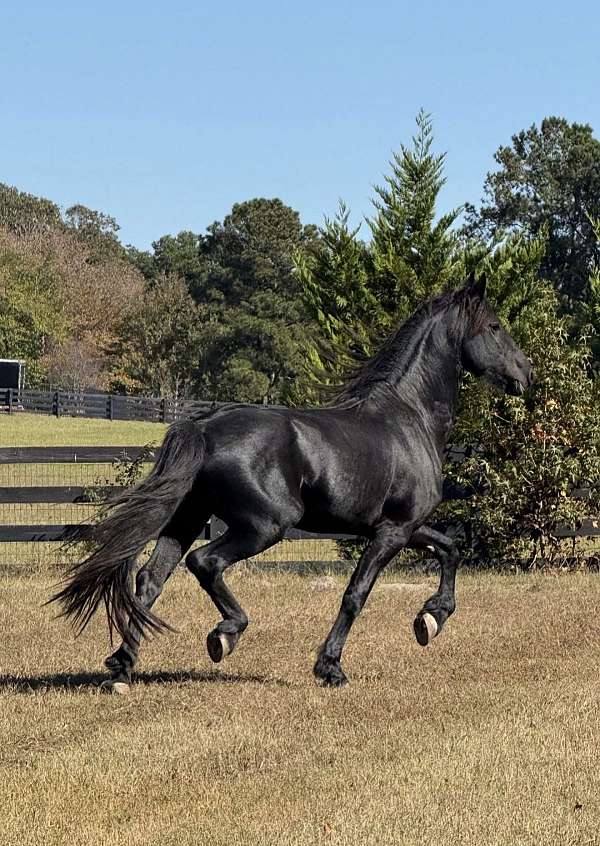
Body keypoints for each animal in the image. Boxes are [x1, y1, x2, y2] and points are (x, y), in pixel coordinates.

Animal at [52, 273, 534, 691]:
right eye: (494, 326)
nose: (525, 373)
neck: (408, 418)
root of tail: (204, 427)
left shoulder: (399, 526)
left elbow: (450, 548)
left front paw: (430, 620)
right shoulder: (392, 531)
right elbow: (356, 593)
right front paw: (331, 668)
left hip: (187, 519)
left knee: (150, 579)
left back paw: (121, 669)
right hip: (265, 526)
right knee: (204, 563)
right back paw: (224, 634)